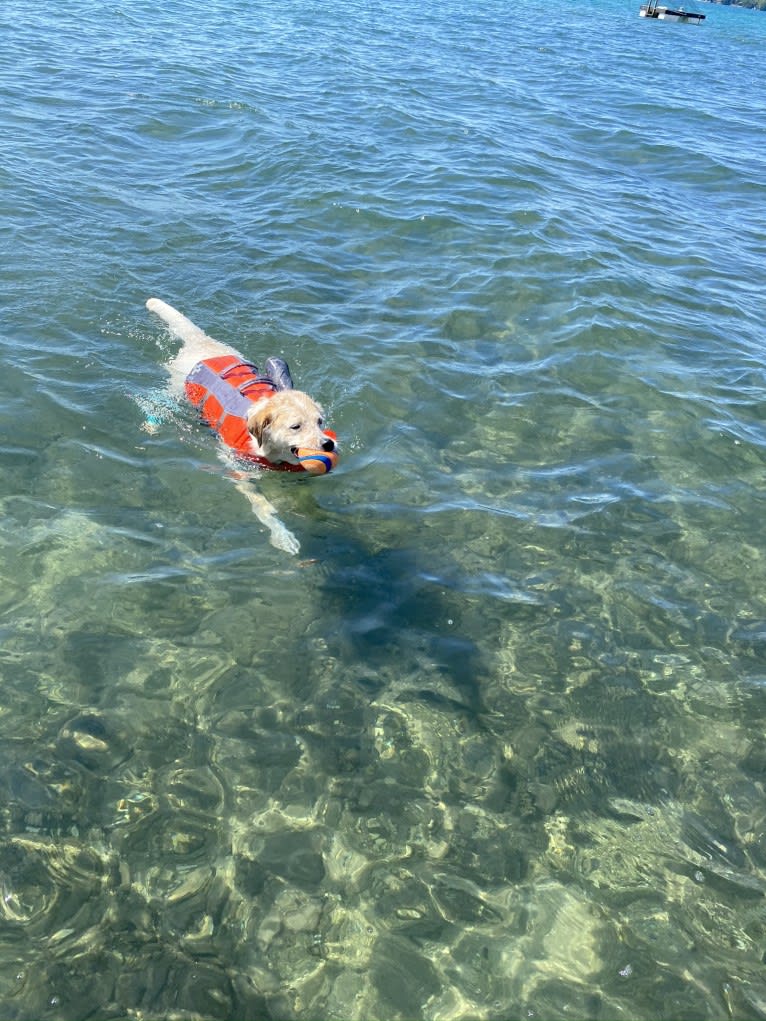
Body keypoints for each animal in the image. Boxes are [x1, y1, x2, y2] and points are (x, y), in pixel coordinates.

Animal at [147, 298, 332, 551]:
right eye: (296, 426)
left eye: (319, 421)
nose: (329, 445)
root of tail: (202, 342)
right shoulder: (238, 469)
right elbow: (262, 505)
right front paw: (283, 536)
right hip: (175, 386)